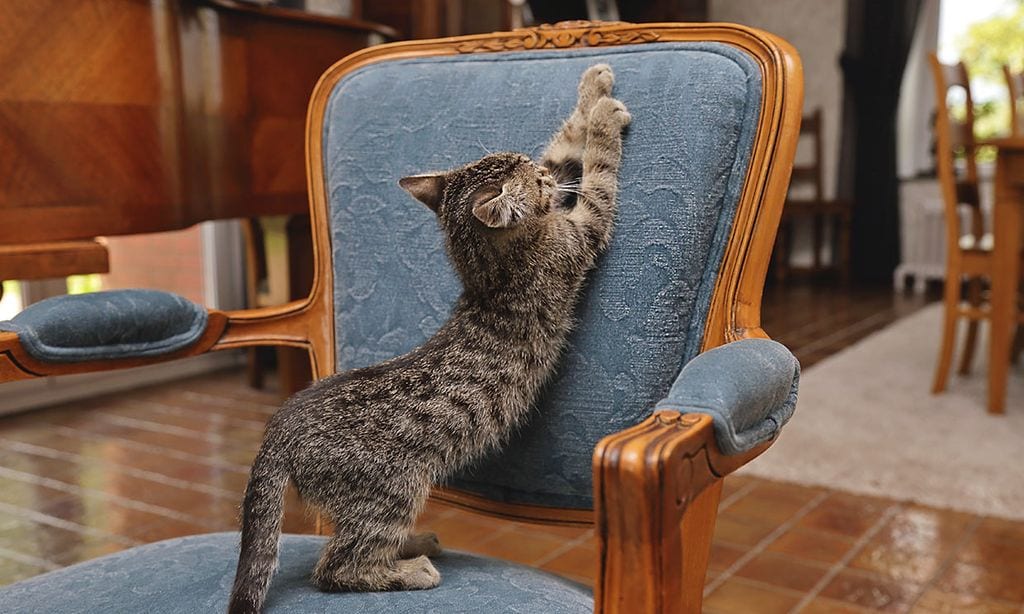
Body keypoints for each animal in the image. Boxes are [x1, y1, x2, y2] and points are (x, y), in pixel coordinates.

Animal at [230, 63, 630, 614]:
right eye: (532, 178)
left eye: (530, 164)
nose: (544, 177)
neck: (488, 271)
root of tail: (281, 425)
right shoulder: (581, 233)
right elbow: (597, 173)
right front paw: (605, 118)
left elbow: (566, 143)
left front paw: (593, 88)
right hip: (392, 490)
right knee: (336, 567)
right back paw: (410, 568)